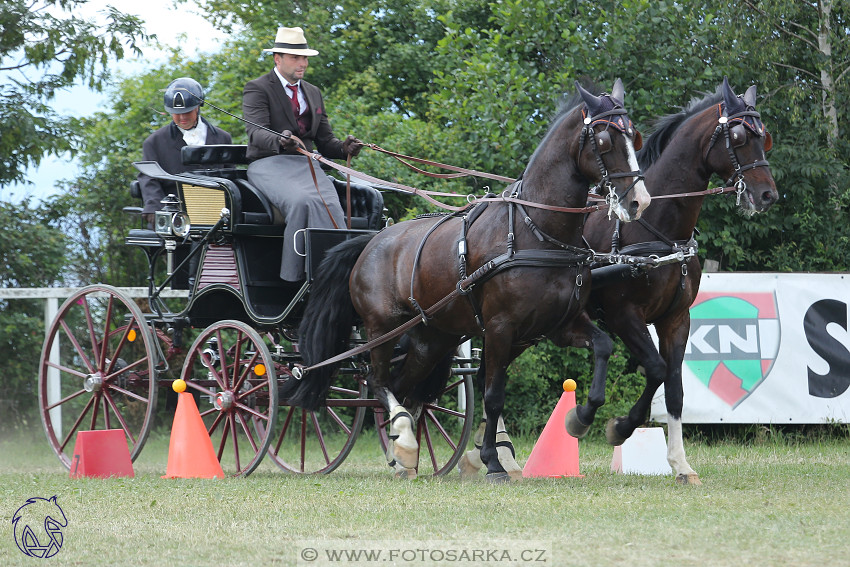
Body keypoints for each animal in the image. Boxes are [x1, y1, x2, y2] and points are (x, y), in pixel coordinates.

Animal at [284, 79, 648, 480]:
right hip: (382, 328)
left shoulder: (558, 325)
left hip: (431, 339)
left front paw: (581, 419)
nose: (639, 202)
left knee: (406, 389)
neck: (536, 231)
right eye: (604, 140)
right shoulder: (500, 328)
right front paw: (492, 460)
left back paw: (402, 453)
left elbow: (603, 347)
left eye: (635, 137)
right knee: (380, 383)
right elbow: (493, 395)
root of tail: (371, 240)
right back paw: (405, 441)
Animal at [560, 76, 780, 484]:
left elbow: (674, 386)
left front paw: (680, 464)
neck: (661, 230)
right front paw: (620, 427)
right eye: (739, 136)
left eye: (765, 137)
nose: (767, 195)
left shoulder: (675, 319)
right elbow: (657, 370)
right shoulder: (624, 316)